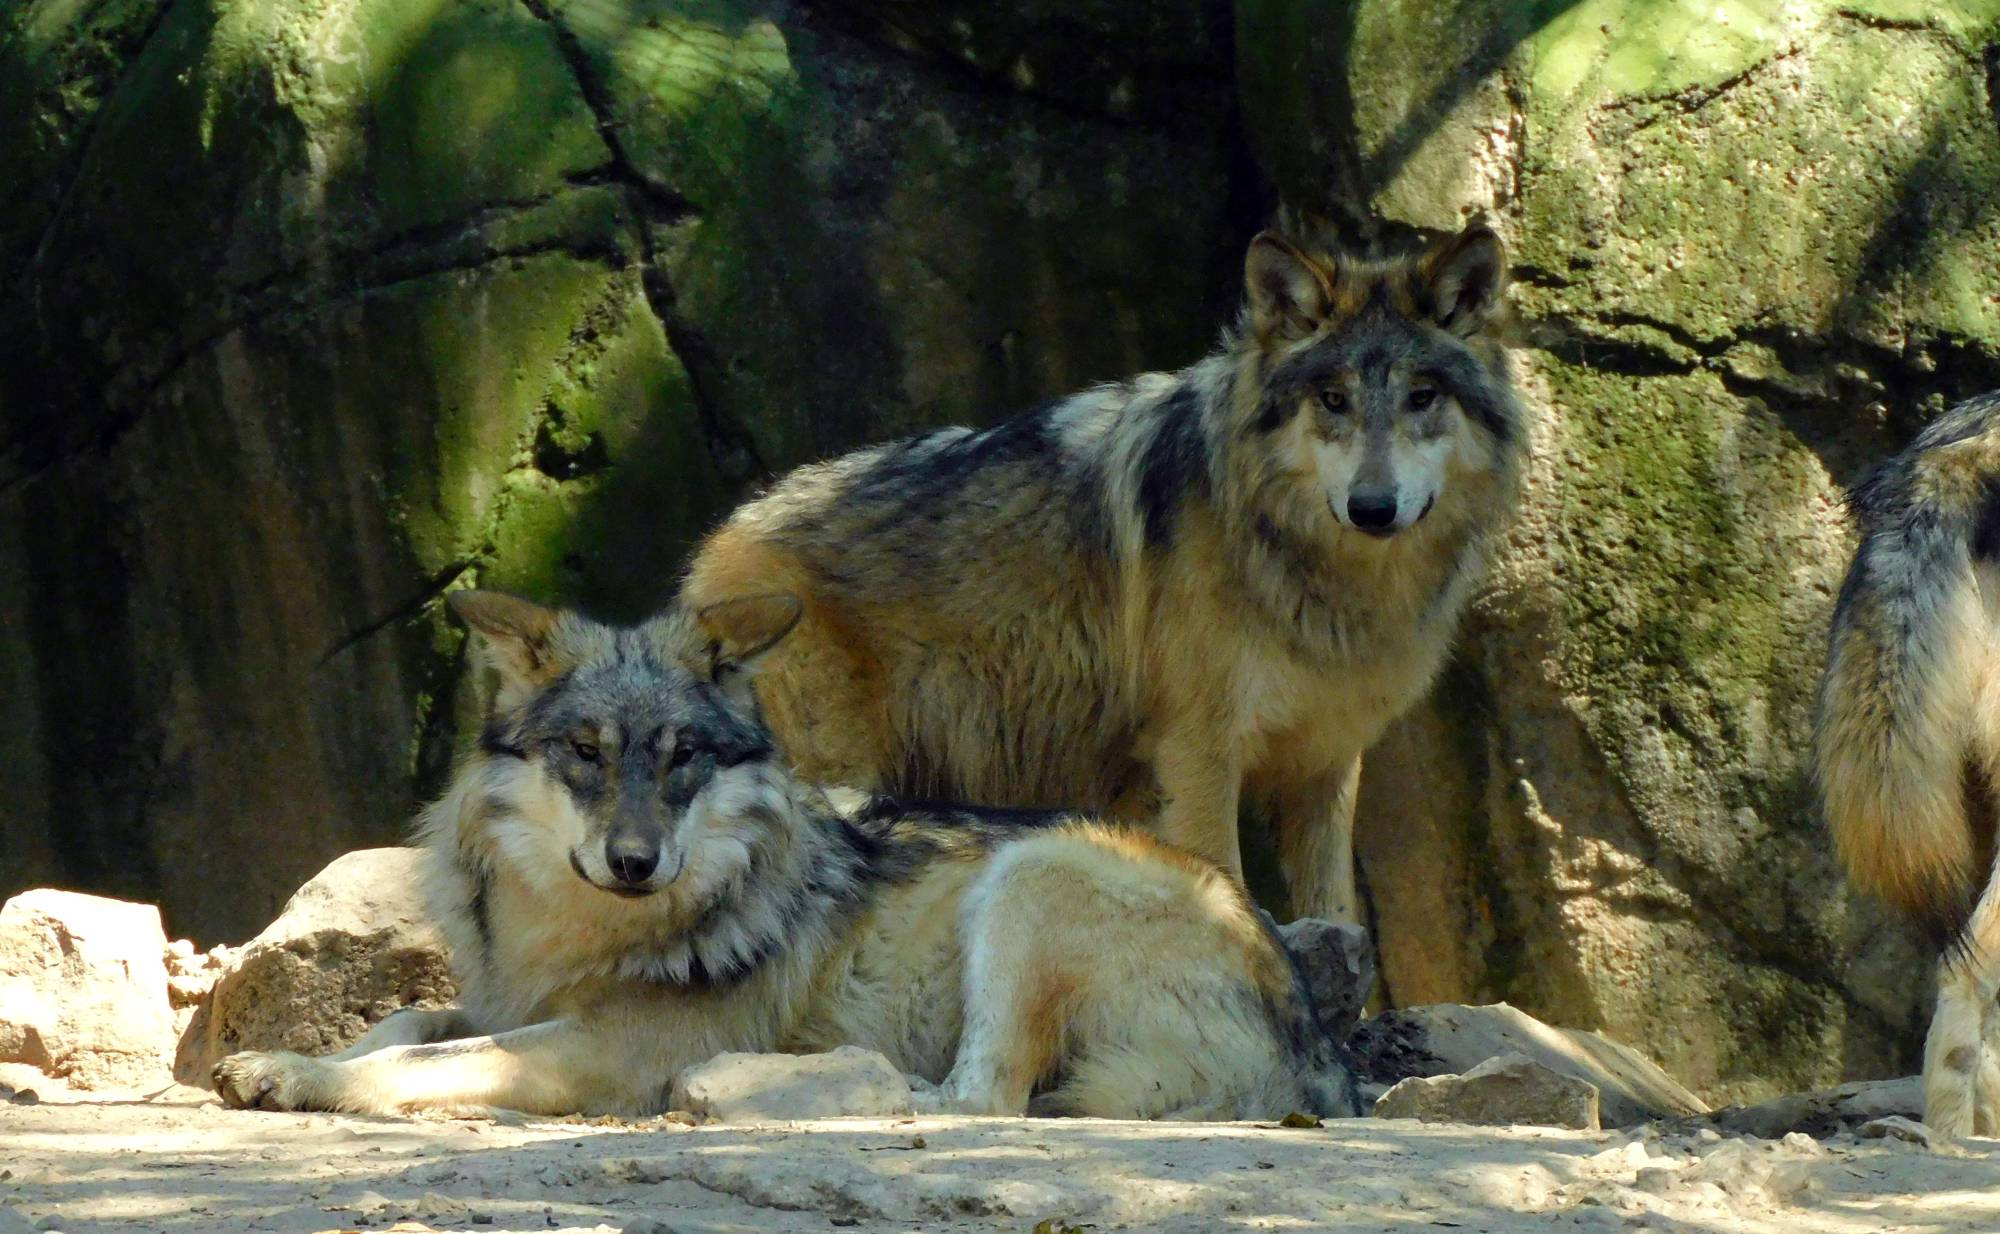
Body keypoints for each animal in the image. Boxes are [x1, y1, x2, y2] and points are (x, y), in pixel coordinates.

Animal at [211, 590, 1360, 1120]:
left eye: (682, 756)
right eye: (586, 753)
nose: (636, 862)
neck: (579, 932)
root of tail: (1315, 1049)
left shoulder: (591, 1045)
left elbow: (416, 1059)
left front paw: (298, 1075)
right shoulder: (507, 1001)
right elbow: (403, 1022)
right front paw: (280, 1059)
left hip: (1034, 871)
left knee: (975, 1095)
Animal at [679, 219, 1528, 923]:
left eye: (1422, 397)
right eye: (1333, 399)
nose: (1373, 508)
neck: (1323, 577)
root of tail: (716, 543)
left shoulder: (1325, 761)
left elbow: (1336, 911)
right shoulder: (1197, 754)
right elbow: (1223, 883)